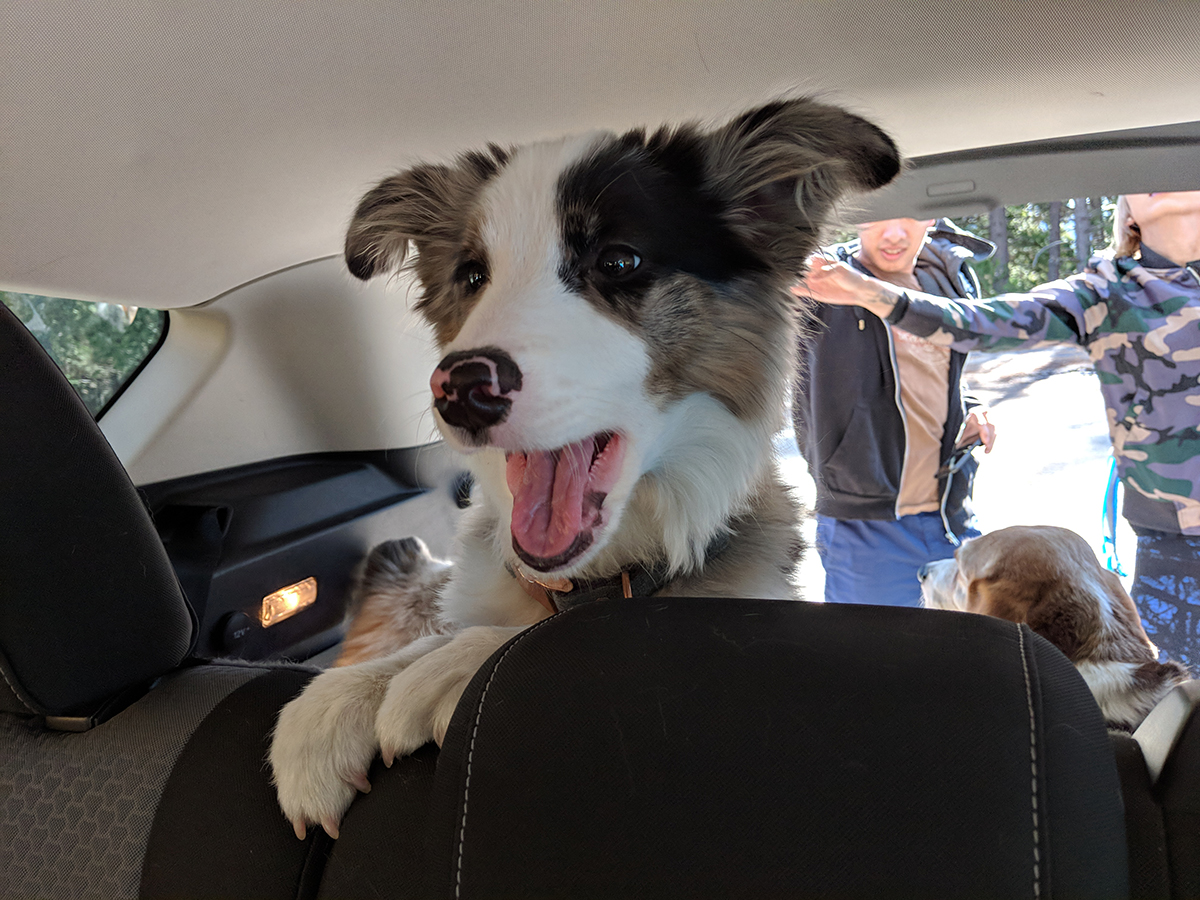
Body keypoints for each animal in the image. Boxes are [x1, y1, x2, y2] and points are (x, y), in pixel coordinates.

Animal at [267, 98, 897, 840]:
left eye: (618, 260)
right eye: (472, 276)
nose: (462, 387)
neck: (594, 579)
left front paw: (452, 667)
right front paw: (338, 700)